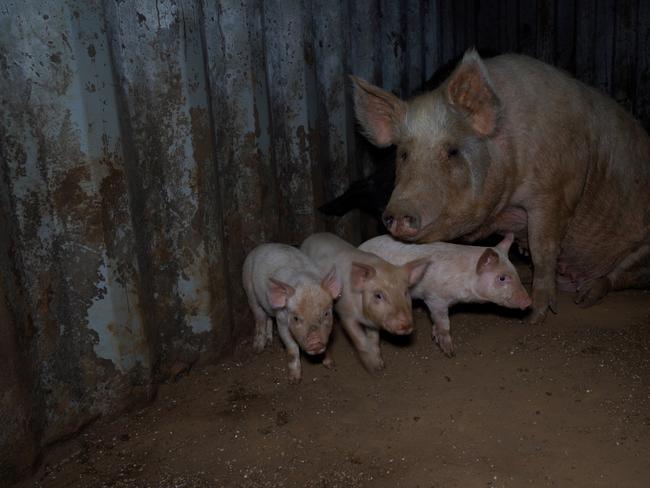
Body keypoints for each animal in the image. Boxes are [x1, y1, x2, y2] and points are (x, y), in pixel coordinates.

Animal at [238, 242, 340, 384]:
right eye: (296, 318)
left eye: (326, 314)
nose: (315, 341)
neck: (305, 283)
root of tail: (260, 247)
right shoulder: (281, 321)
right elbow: (291, 349)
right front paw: (294, 380)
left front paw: (331, 365)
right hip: (249, 291)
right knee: (260, 318)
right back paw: (258, 349)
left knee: (268, 317)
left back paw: (270, 342)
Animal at [298, 232, 428, 370]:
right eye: (378, 295)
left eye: (405, 292)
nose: (406, 325)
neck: (364, 316)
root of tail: (314, 235)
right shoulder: (346, 314)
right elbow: (359, 339)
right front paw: (373, 367)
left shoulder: (374, 321)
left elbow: (374, 340)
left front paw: (381, 365)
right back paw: (330, 365)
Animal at [350, 50, 648, 324]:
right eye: (403, 153)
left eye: (452, 151)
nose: (398, 212)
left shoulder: (555, 193)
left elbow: (543, 250)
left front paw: (535, 317)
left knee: (617, 277)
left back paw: (584, 297)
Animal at [360, 234, 532, 354]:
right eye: (502, 278)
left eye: (516, 272)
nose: (529, 301)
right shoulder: (434, 298)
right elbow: (443, 321)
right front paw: (449, 351)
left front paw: (435, 335)